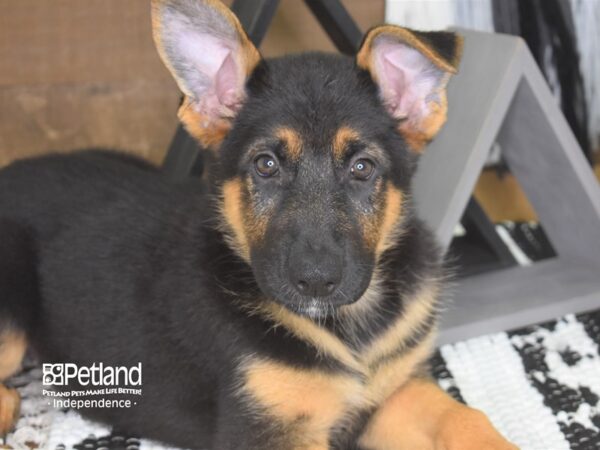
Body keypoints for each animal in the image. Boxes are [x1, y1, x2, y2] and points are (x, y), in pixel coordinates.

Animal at [0, 0, 516, 448]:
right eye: (266, 165)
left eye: (362, 168)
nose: (316, 282)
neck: (348, 327)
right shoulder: (268, 428)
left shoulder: (395, 390)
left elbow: (468, 418)